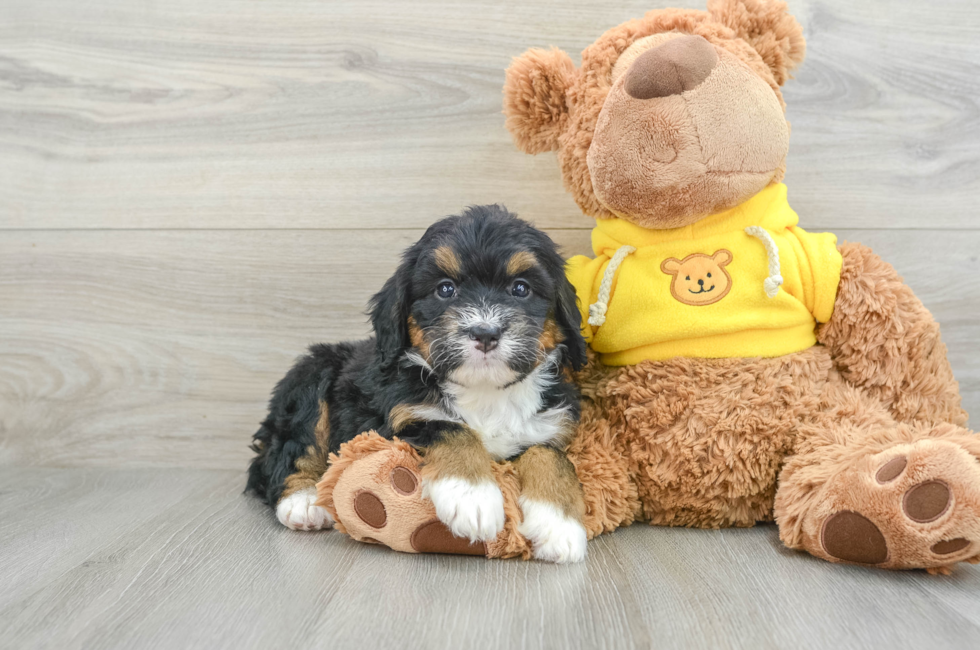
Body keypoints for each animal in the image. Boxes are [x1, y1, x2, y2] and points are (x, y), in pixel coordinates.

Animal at [249, 205, 592, 560]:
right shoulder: (394, 422)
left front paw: (559, 523)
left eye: (521, 288)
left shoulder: (550, 426)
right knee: (289, 446)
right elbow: (451, 428)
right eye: (445, 289)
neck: (485, 391)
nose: (485, 332)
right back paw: (303, 501)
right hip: (314, 373)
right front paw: (473, 497)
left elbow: (553, 458)